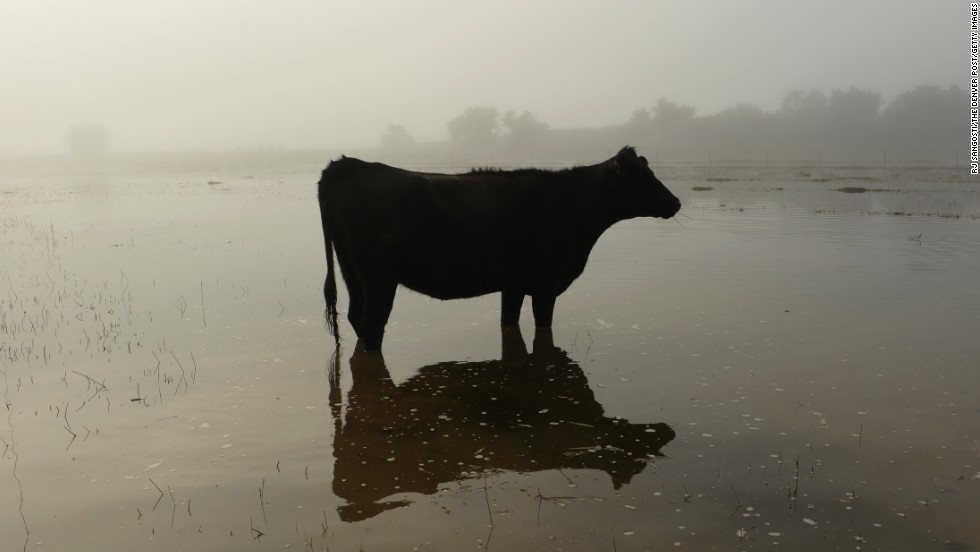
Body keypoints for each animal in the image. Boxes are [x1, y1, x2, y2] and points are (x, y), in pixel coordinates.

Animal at [320, 147, 680, 352]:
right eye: (642, 177)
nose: (675, 202)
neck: (574, 206)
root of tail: (349, 165)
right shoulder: (546, 283)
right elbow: (543, 327)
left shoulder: (514, 284)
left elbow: (510, 322)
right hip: (379, 275)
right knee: (371, 321)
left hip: (351, 270)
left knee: (354, 315)